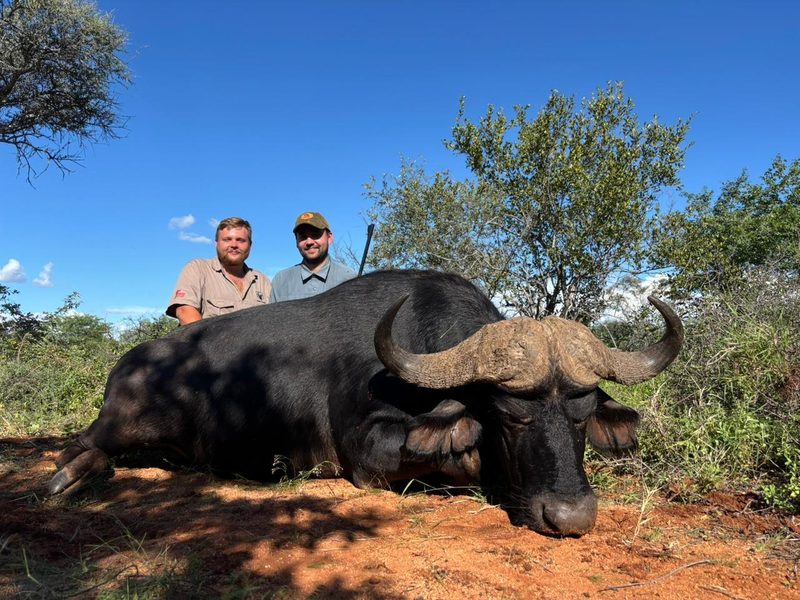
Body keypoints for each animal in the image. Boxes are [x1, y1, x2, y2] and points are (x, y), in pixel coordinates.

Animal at [49, 270, 683, 536]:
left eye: (582, 414)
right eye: (509, 413)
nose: (570, 518)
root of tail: (127, 364)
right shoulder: (367, 455)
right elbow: (461, 450)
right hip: (121, 425)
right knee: (82, 444)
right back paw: (68, 478)